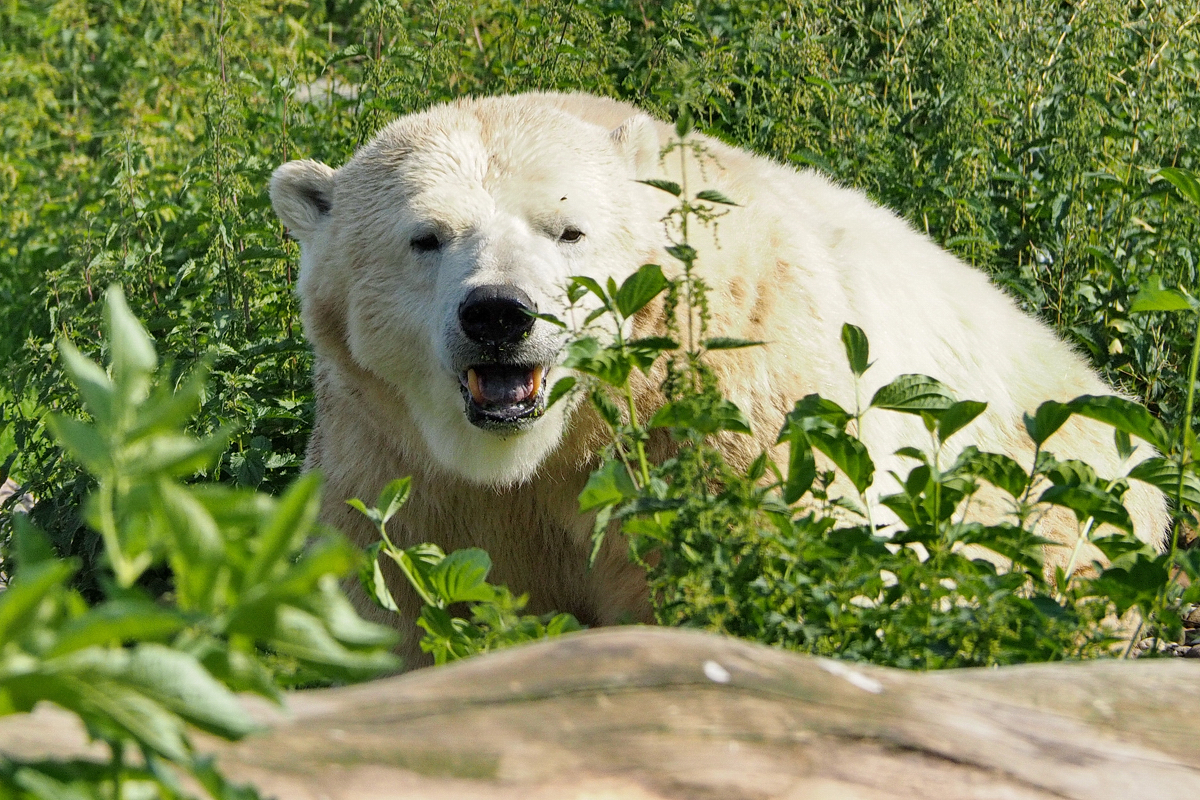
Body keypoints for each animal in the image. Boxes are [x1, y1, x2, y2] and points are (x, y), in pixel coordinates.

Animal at [270, 90, 1161, 666]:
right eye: (425, 237)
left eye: (569, 229)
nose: (500, 314)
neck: (553, 444)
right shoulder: (398, 467)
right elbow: (397, 607)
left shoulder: (733, 415)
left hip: (1065, 498)